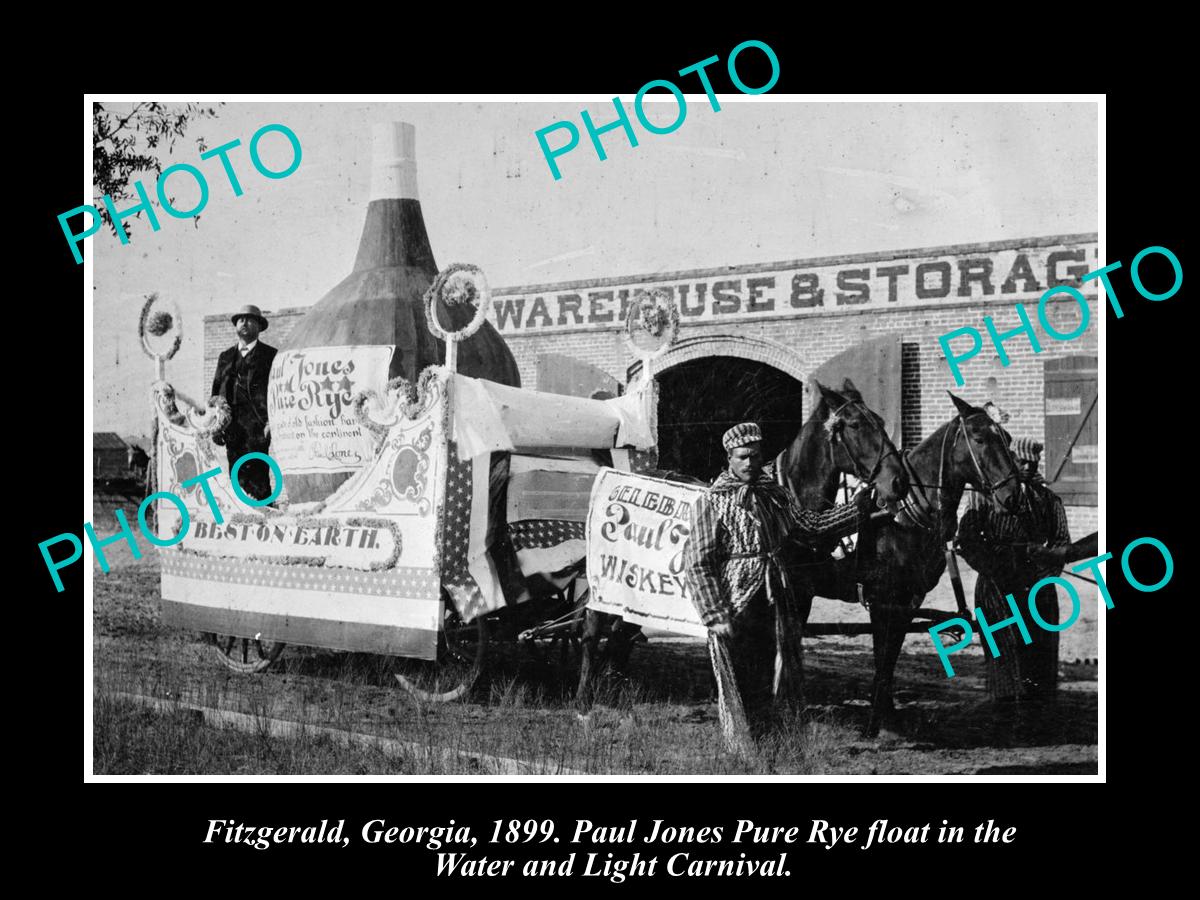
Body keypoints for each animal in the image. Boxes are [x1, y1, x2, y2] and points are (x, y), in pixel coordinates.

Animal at [573, 379, 907, 710]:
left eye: (880, 421)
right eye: (854, 424)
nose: (897, 481)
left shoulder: (799, 597)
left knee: (621, 633)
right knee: (592, 630)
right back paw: (584, 697)